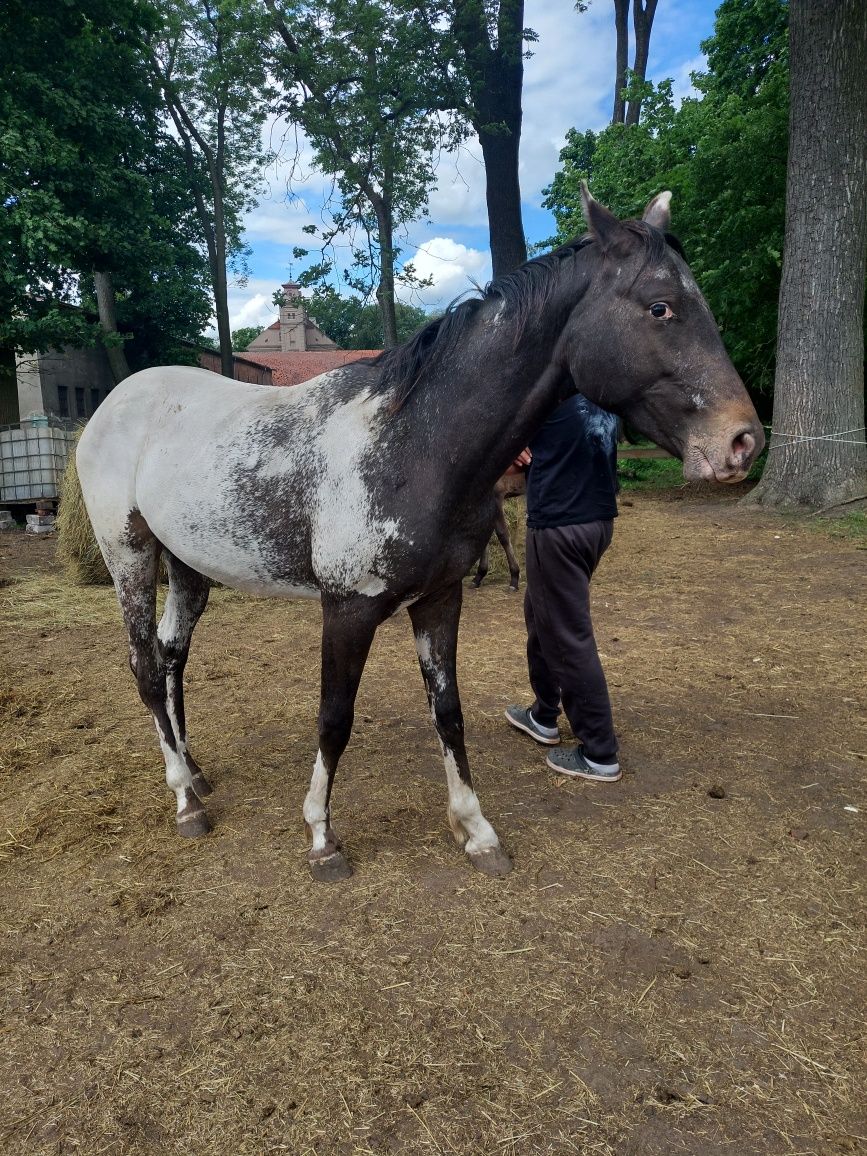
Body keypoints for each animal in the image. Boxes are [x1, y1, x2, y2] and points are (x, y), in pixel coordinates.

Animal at [76, 189, 767, 878]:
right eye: (660, 307)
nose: (741, 442)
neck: (413, 444)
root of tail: (112, 405)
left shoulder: (440, 599)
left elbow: (448, 712)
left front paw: (476, 830)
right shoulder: (347, 610)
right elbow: (334, 718)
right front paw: (322, 837)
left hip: (188, 566)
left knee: (173, 659)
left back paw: (193, 773)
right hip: (129, 555)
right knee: (145, 666)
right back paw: (186, 803)